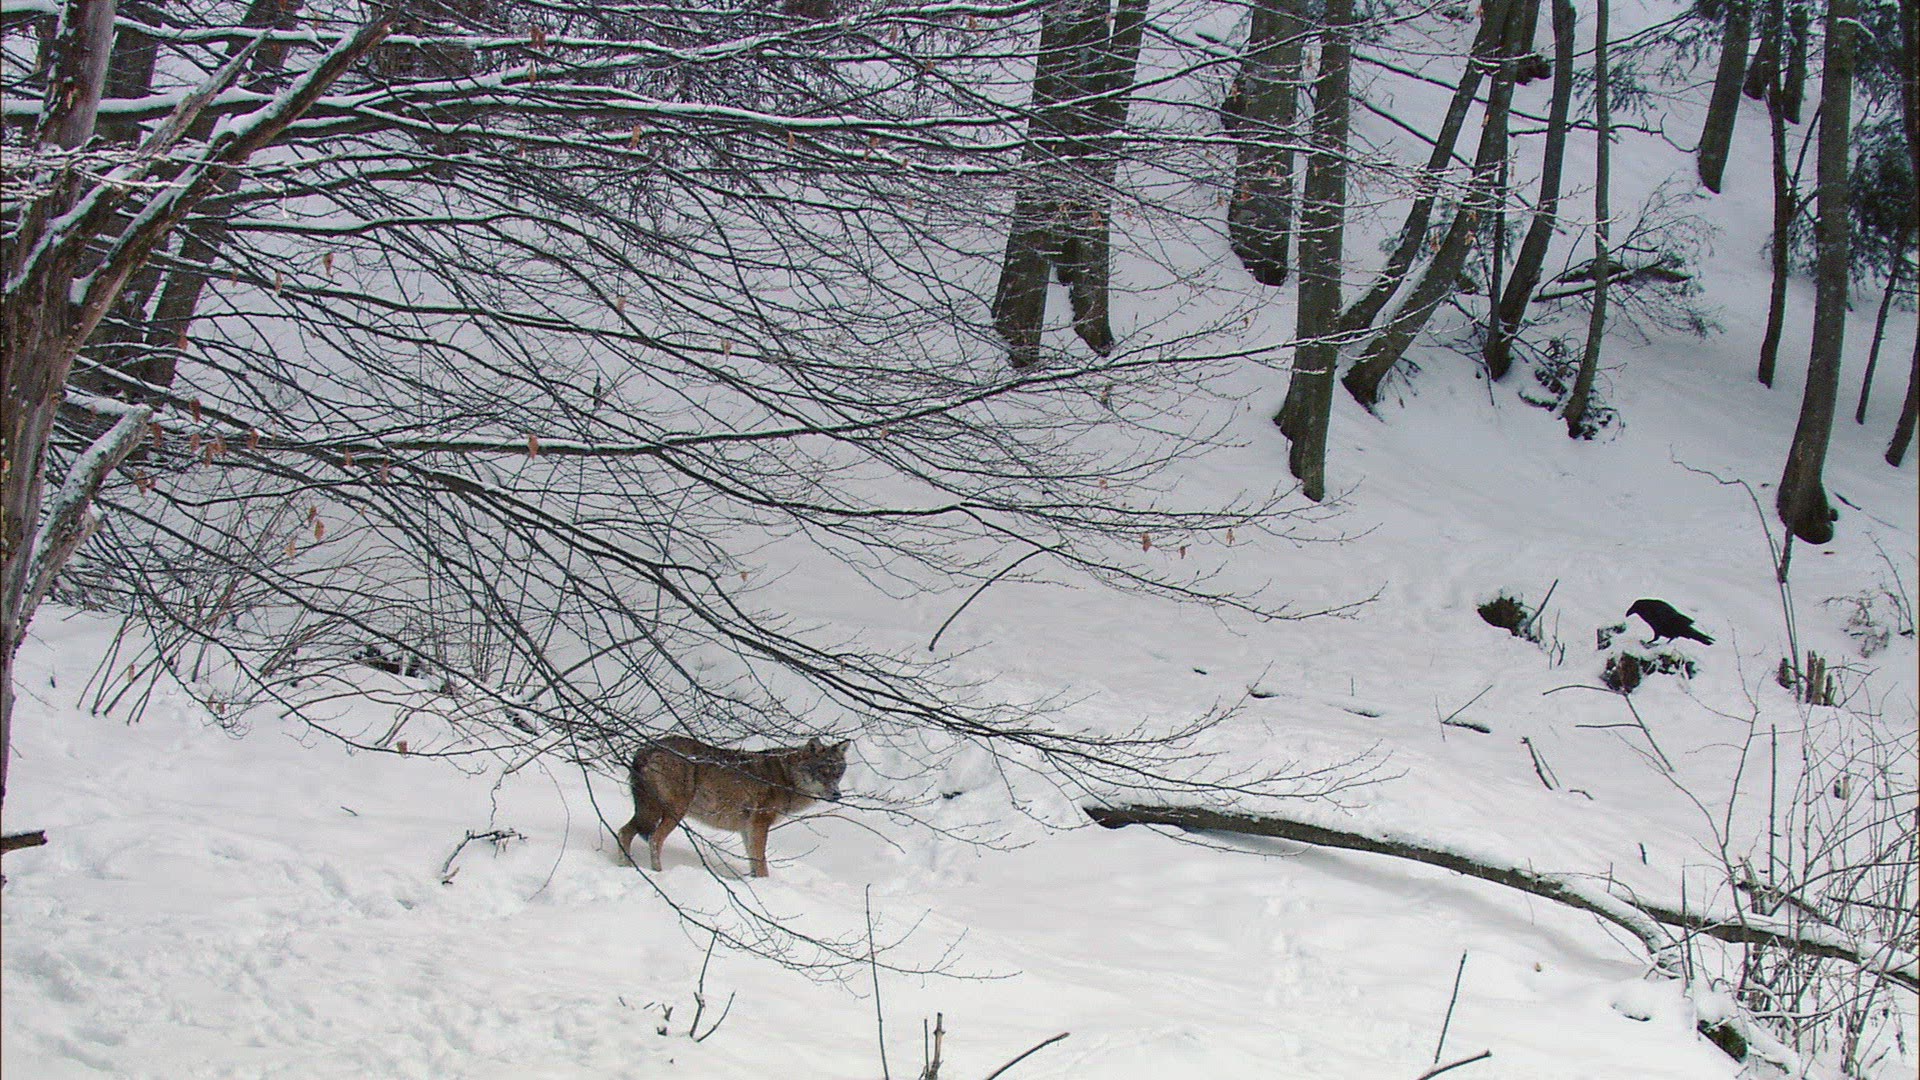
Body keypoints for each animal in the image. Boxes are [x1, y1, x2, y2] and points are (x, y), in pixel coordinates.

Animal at [615, 735, 849, 878]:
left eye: (838, 773)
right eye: (823, 772)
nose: (837, 795)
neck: (786, 778)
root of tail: (647, 747)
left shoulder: (748, 829)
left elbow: (754, 862)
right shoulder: (759, 824)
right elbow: (761, 862)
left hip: (650, 811)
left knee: (624, 832)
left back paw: (625, 867)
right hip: (672, 812)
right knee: (654, 840)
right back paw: (658, 873)